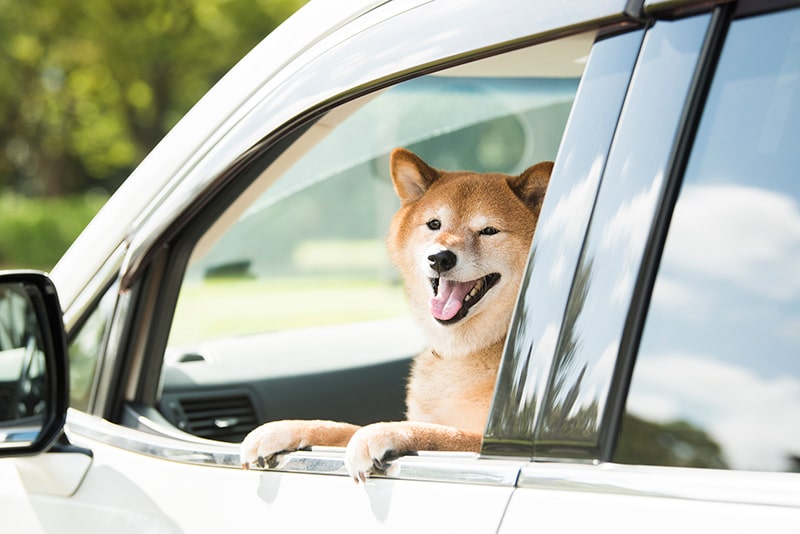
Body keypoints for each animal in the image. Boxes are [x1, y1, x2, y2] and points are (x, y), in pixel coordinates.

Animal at [241, 149, 552, 484]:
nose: (440, 258)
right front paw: (281, 429)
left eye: (489, 231)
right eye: (434, 224)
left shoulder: (487, 440)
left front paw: (379, 434)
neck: (461, 352)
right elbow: (342, 427)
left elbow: (439, 433)